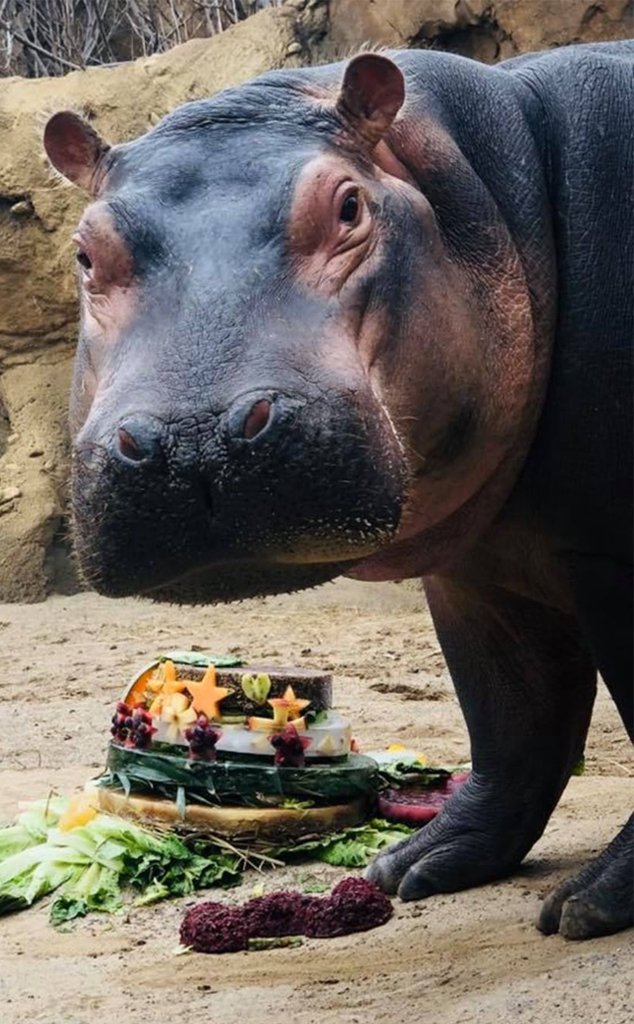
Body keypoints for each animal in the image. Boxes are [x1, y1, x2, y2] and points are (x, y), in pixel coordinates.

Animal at [43, 40, 633, 940]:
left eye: (350, 206)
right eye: (84, 252)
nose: (194, 437)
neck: (497, 186)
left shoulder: (609, 555)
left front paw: (589, 906)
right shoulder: (476, 568)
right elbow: (511, 717)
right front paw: (413, 869)